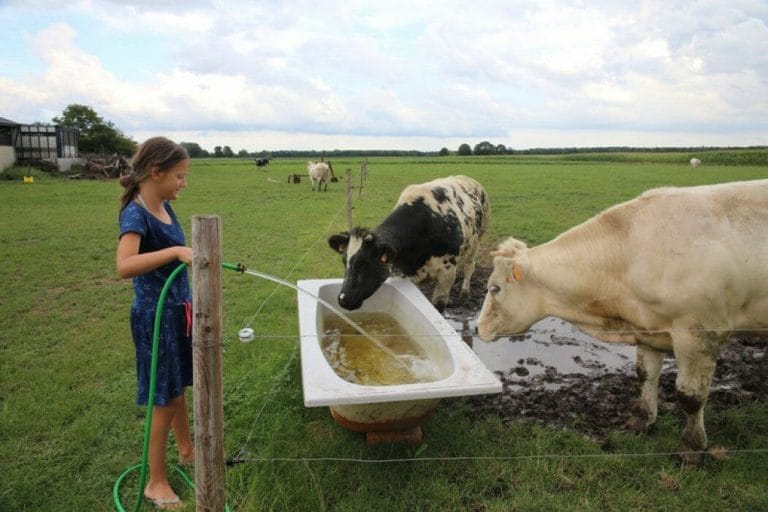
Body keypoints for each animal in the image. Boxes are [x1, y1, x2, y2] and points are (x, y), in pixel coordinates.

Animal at [328, 176, 488, 312]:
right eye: (344, 261)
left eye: (365, 263)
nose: (343, 299)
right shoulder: (403, 272)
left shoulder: (447, 273)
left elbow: (439, 306)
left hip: (478, 238)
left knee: (469, 266)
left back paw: (465, 291)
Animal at [480, 179, 768, 464]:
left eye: (495, 288)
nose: (478, 326)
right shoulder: (649, 329)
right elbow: (645, 375)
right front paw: (641, 420)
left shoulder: (699, 333)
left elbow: (691, 396)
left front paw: (691, 447)